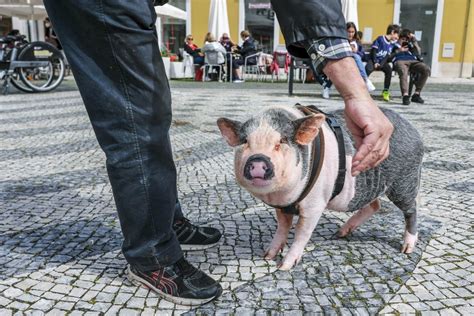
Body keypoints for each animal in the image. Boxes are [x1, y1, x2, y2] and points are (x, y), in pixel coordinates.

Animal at [217, 105, 424, 270]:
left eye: (282, 141)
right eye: (245, 142)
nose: (258, 160)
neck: (280, 196)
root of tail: (413, 130)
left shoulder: (314, 205)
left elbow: (302, 233)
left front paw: (284, 266)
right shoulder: (283, 207)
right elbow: (282, 228)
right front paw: (267, 255)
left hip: (404, 182)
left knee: (411, 210)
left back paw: (406, 249)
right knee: (375, 205)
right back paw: (340, 233)